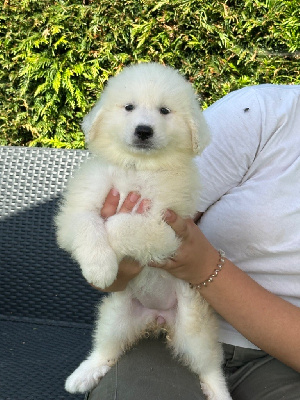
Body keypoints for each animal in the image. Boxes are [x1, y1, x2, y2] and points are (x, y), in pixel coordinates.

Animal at [55, 63, 231, 400]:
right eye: (129, 107)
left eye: (164, 111)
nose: (143, 131)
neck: (138, 168)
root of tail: (157, 319)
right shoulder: (76, 210)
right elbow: (90, 223)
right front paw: (100, 268)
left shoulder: (168, 227)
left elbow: (120, 223)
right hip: (116, 315)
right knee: (106, 350)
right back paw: (83, 374)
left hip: (194, 326)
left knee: (209, 365)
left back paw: (219, 392)